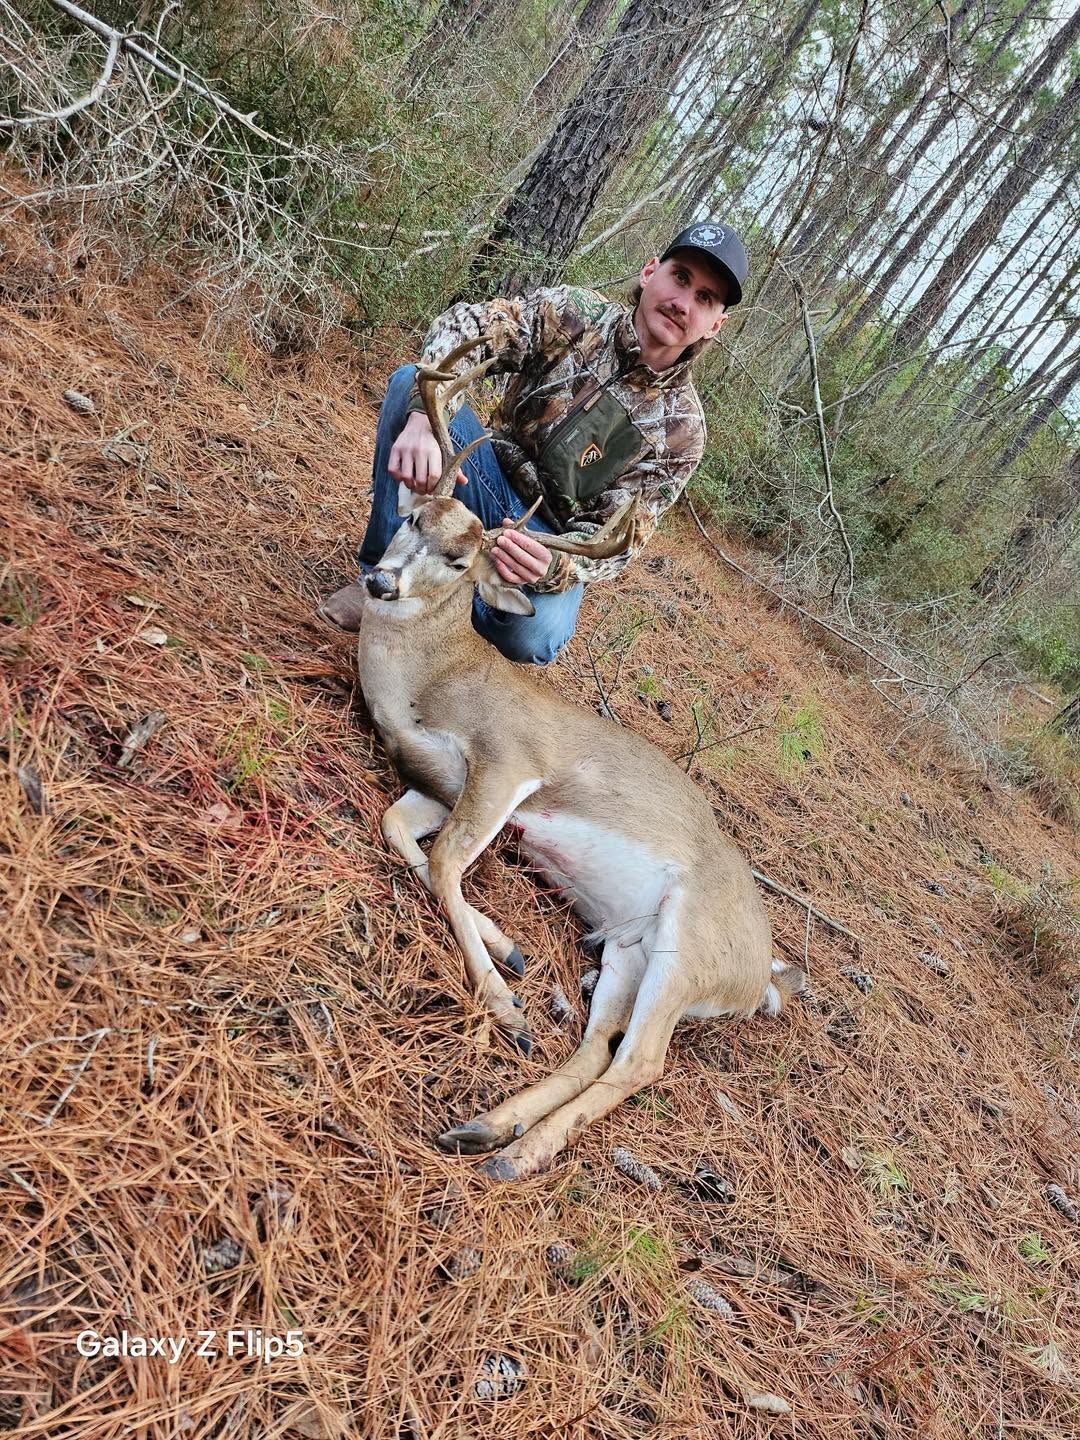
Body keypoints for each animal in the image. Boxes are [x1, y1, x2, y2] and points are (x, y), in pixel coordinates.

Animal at [351, 338, 804, 1181]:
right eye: (415, 517)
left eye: (461, 560)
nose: (381, 580)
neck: (427, 685)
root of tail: (764, 975)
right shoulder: (440, 782)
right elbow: (402, 833)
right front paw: (511, 952)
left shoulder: (509, 761)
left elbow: (445, 861)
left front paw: (501, 998)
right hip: (629, 949)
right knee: (599, 1048)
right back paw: (487, 1128)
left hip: (687, 945)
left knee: (642, 1062)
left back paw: (518, 1149)